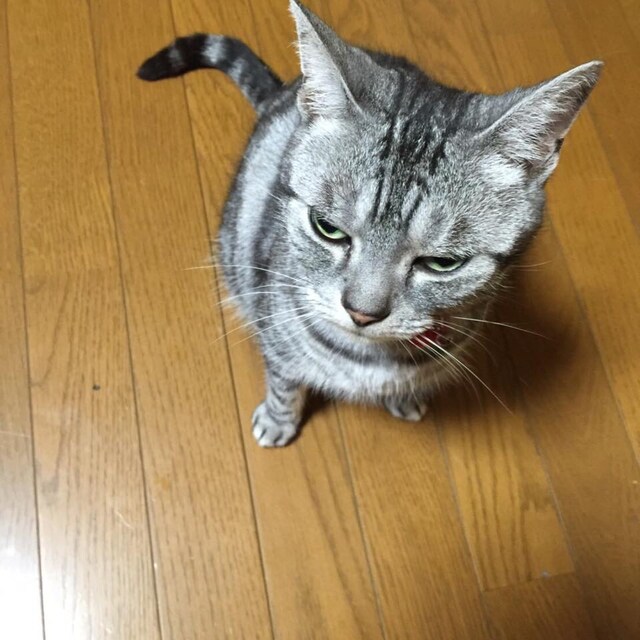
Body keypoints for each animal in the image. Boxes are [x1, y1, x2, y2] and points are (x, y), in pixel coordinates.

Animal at [138, 0, 601, 447]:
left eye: (443, 263)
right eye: (327, 227)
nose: (361, 313)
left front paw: (405, 398)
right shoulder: (277, 336)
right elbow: (285, 384)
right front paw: (278, 422)